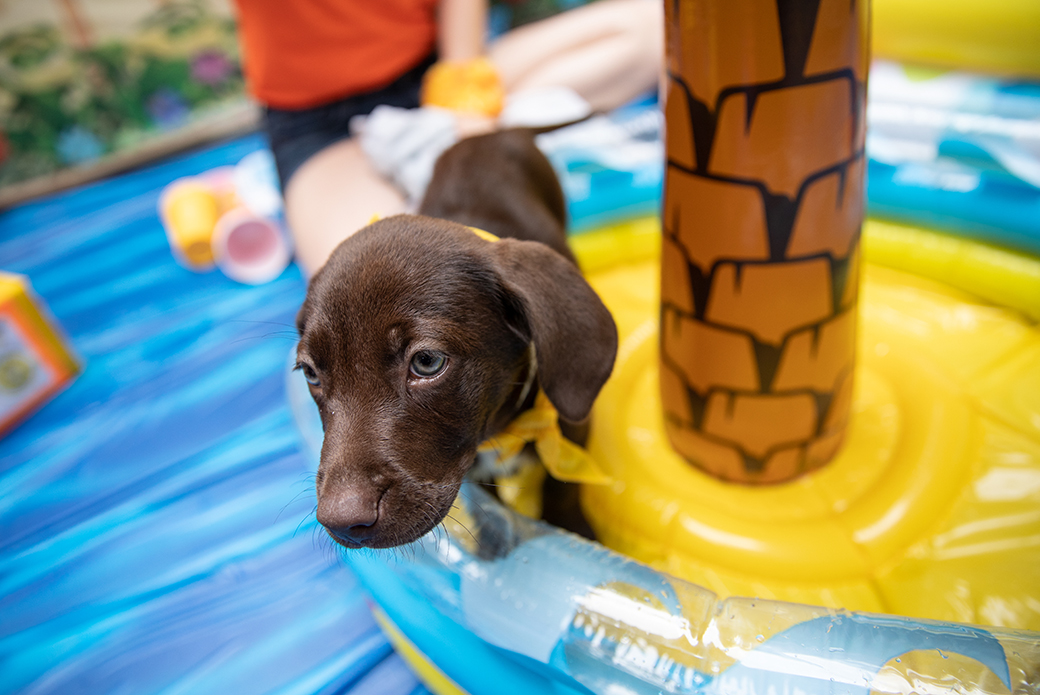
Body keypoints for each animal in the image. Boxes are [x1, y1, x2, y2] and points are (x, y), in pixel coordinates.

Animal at [295, 130, 615, 549]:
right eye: (310, 374)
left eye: (427, 361)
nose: (341, 522)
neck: (500, 431)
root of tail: (490, 132)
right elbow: (492, 507)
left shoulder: (573, 427)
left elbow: (562, 488)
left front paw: (574, 530)